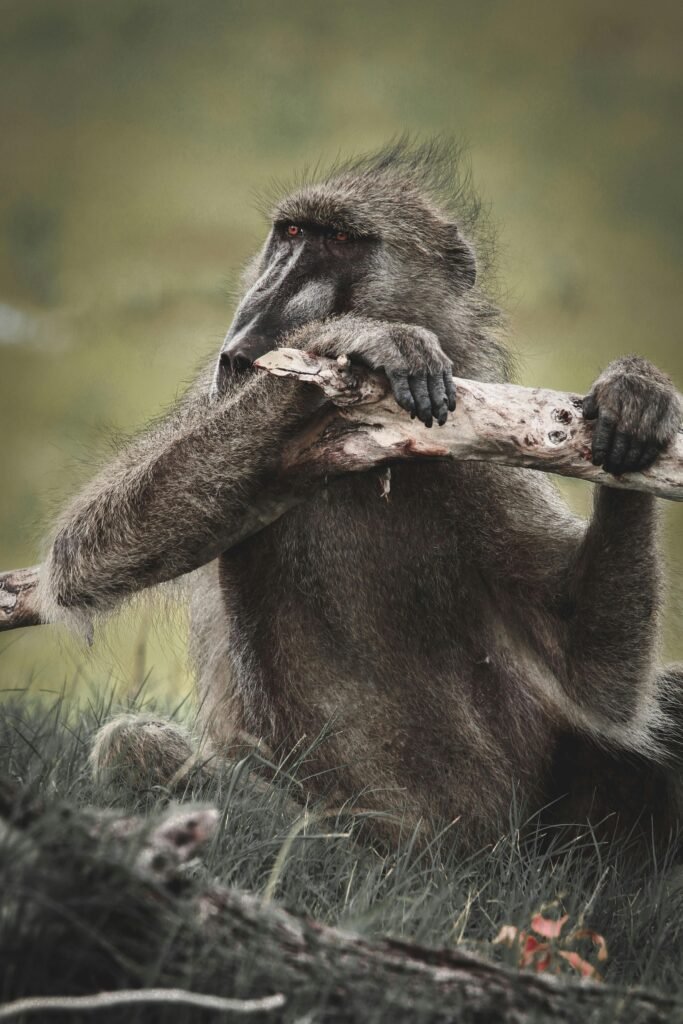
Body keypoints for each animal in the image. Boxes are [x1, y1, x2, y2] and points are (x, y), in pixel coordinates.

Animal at [36, 141, 683, 855]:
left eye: (340, 240)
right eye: (290, 234)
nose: (243, 340)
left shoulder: (479, 456)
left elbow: (593, 668)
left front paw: (634, 397)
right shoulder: (217, 401)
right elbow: (83, 555)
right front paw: (353, 337)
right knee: (134, 748)